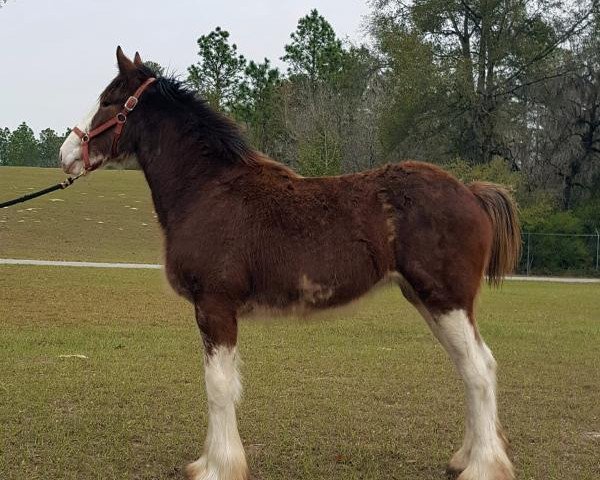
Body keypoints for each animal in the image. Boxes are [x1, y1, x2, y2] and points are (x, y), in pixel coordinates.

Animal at [59, 47, 520, 480]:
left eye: (109, 101)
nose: (66, 153)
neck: (207, 190)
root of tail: (470, 191)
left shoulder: (215, 306)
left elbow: (218, 387)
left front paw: (220, 467)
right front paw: (208, 461)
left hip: (445, 300)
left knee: (478, 370)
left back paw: (483, 466)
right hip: (428, 300)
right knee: (472, 366)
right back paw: (465, 458)